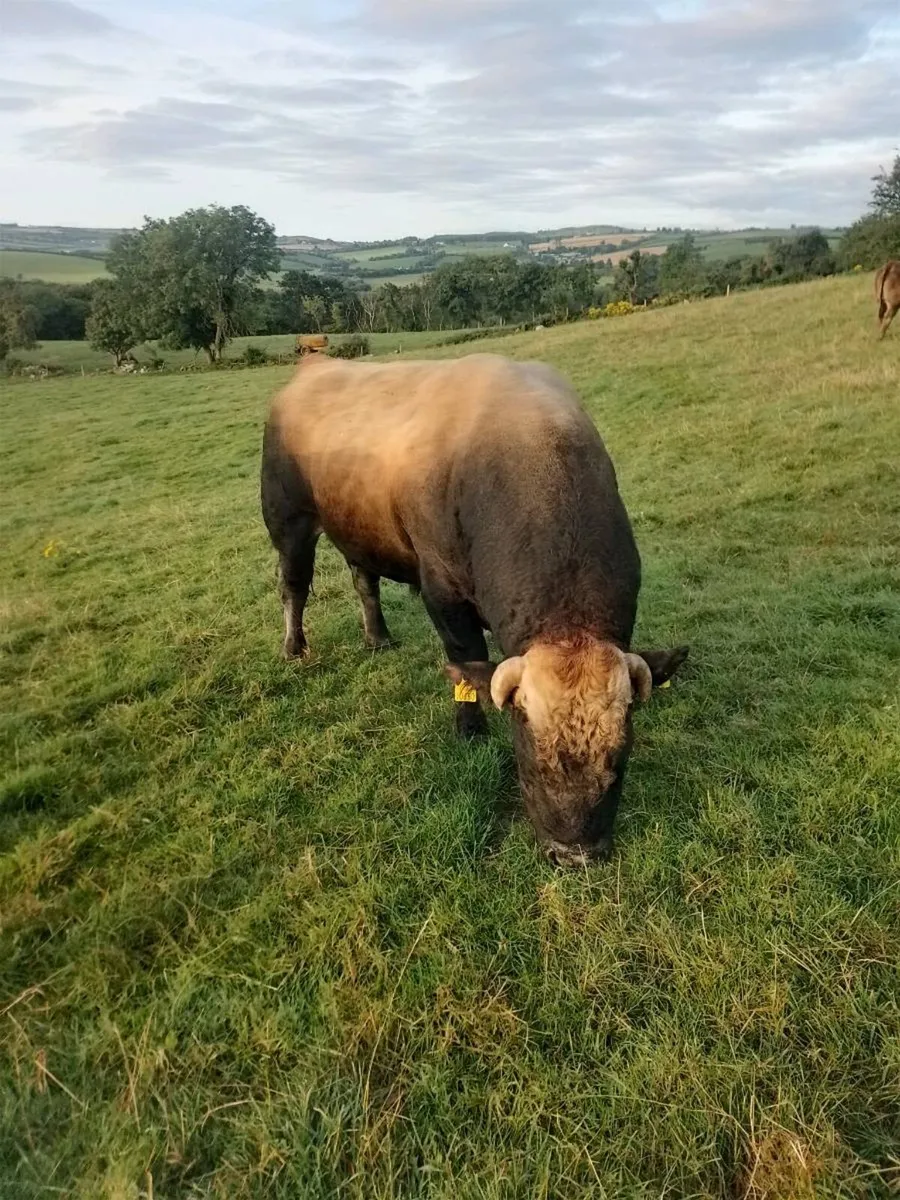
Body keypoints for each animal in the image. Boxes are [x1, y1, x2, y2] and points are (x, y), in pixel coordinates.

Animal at [260, 353, 688, 866]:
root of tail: (315, 363)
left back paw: (377, 636)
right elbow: (465, 658)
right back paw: (293, 646)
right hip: (287, 519)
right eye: (528, 762)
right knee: (293, 585)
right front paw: (470, 728)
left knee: (364, 580)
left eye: (619, 762)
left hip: (358, 529)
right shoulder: (442, 593)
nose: (575, 855)